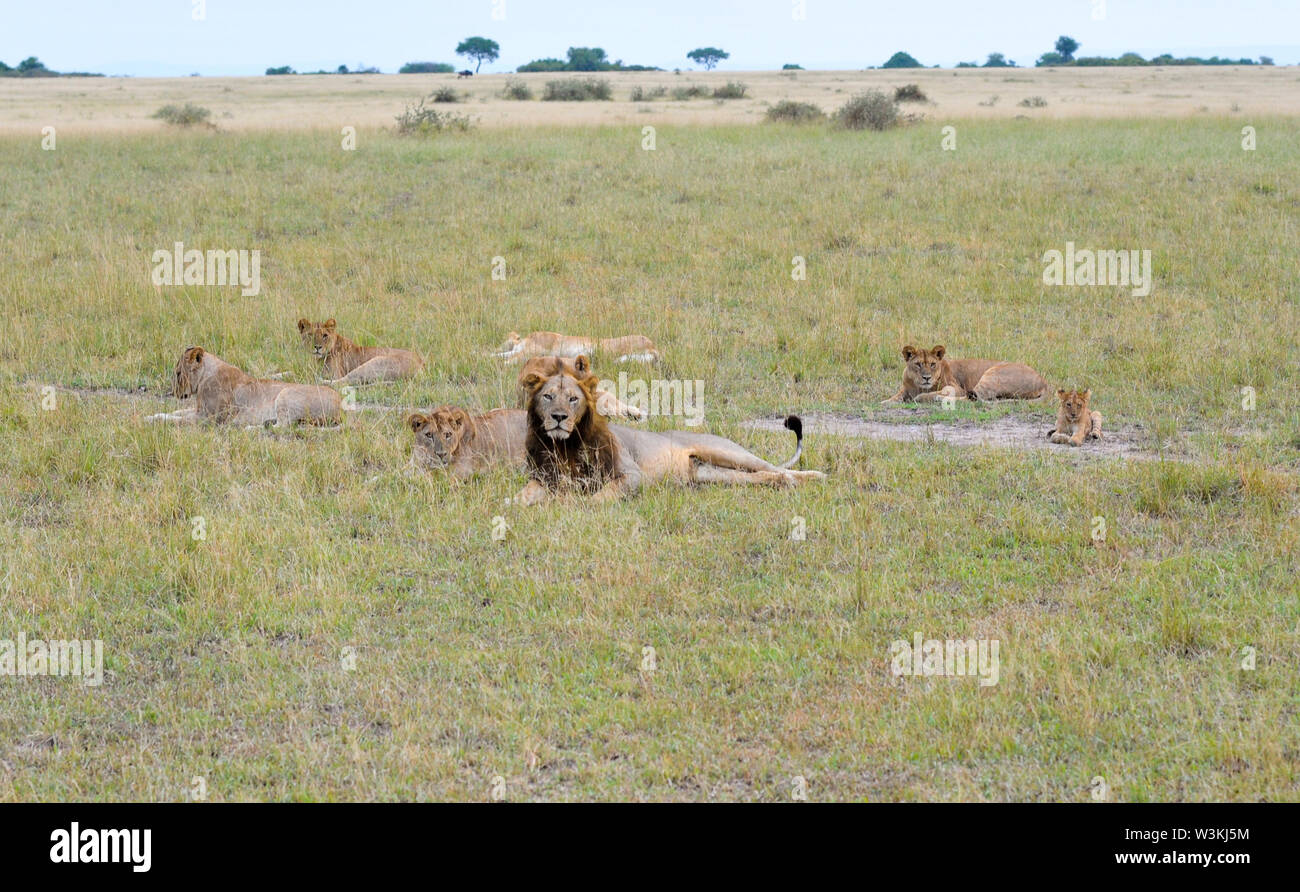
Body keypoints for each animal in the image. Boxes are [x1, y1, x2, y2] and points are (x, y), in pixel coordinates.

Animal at [146, 348, 345, 429]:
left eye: (178, 373)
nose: (173, 392)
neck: (204, 377)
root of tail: (340, 405)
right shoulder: (199, 410)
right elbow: (177, 412)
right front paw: (152, 415)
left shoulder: (208, 419)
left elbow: (178, 419)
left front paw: (155, 420)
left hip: (285, 394)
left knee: (283, 427)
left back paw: (253, 427)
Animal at [506, 358, 821, 509]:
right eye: (547, 396)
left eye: (573, 399)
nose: (558, 418)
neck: (565, 447)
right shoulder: (544, 478)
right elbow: (525, 493)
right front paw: (513, 503)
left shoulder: (632, 476)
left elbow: (601, 496)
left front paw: (575, 504)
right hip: (712, 475)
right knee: (762, 476)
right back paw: (783, 483)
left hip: (727, 452)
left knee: (775, 467)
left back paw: (813, 477)